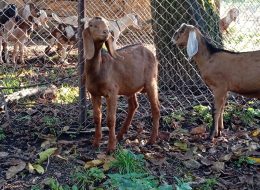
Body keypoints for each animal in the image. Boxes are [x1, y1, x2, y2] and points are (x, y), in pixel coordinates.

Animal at [83, 16, 160, 153]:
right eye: (92, 25)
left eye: (106, 25)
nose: (106, 32)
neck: (98, 69)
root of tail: (148, 50)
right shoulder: (94, 93)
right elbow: (97, 118)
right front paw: (95, 143)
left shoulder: (112, 93)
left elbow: (111, 120)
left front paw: (110, 148)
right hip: (130, 86)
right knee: (133, 105)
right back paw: (120, 135)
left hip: (151, 81)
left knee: (155, 108)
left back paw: (151, 140)